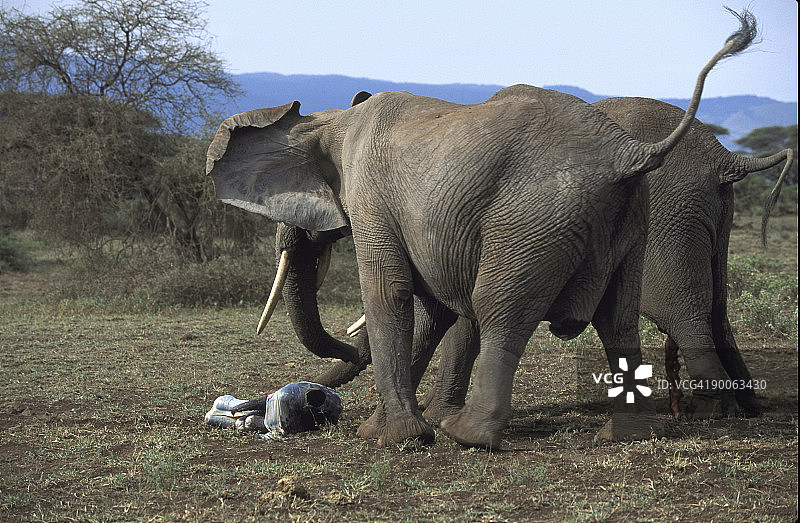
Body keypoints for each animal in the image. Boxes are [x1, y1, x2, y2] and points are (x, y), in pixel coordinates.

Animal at [207, 11, 756, 448]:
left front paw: (397, 439)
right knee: (617, 318)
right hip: (631, 221)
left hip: (534, 221)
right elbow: (436, 309)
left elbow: (390, 292)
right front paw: (388, 429)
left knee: (501, 308)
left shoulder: (371, 198)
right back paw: (626, 435)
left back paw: (468, 436)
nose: (313, 398)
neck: (335, 120)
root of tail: (630, 153)